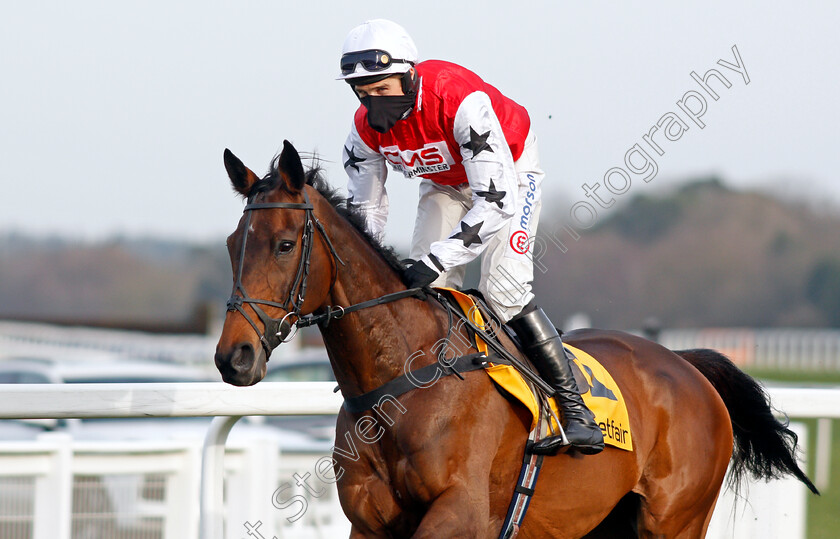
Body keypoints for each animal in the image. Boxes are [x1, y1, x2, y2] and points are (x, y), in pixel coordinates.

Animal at [213, 141, 816, 536]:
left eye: (285, 244)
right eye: (231, 243)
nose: (232, 357)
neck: (401, 382)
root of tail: (684, 363)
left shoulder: (459, 513)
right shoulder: (369, 523)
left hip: (675, 520)